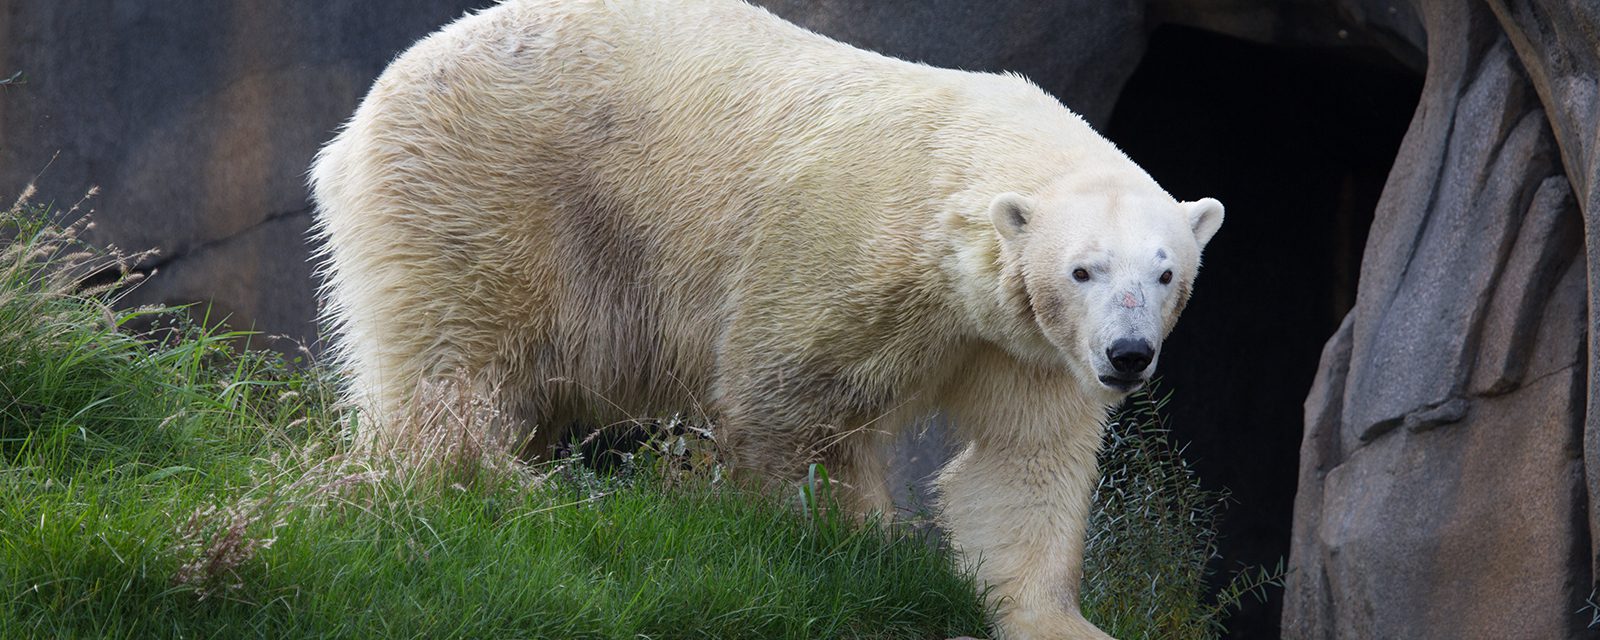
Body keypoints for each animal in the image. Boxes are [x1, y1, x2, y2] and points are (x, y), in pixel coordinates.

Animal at [305, 2, 1216, 636]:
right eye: (1083, 268)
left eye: (1165, 272)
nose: (1128, 354)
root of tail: (359, 123)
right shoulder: (844, 249)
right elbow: (792, 407)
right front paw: (851, 550)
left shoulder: (1026, 345)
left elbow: (1021, 461)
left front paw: (1056, 619)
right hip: (481, 188)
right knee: (454, 359)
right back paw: (490, 482)